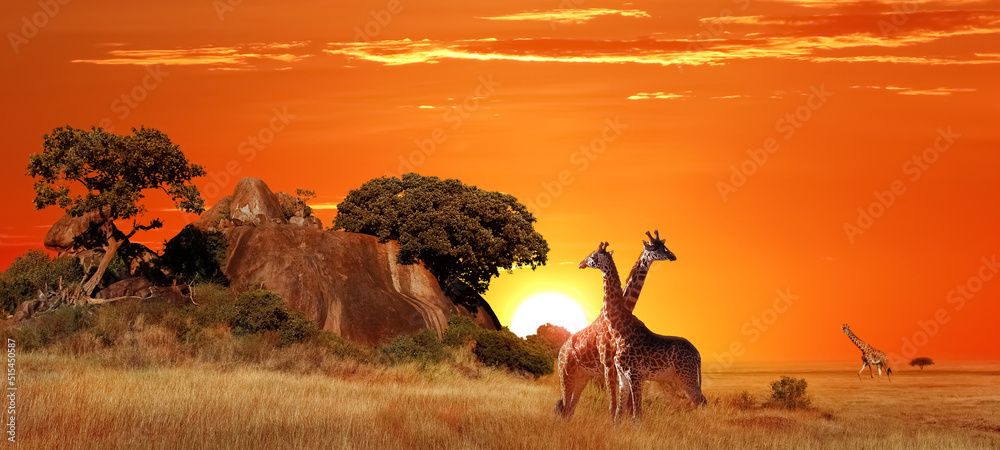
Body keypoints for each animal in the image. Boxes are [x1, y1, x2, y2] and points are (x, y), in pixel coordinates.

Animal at [554, 231, 676, 419]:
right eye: (654, 248)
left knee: (569, 408)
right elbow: (614, 406)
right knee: (564, 406)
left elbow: (625, 406)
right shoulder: (608, 364)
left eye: (663, 246)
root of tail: (561, 351)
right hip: (566, 373)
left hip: (582, 376)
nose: (672, 256)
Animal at [580, 241, 706, 421]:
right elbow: (620, 411)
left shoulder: (631, 374)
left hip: (684, 375)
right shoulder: (619, 372)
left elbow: (633, 412)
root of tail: (697, 354)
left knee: (700, 401)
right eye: (656, 248)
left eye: (592, 255)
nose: (581, 263)